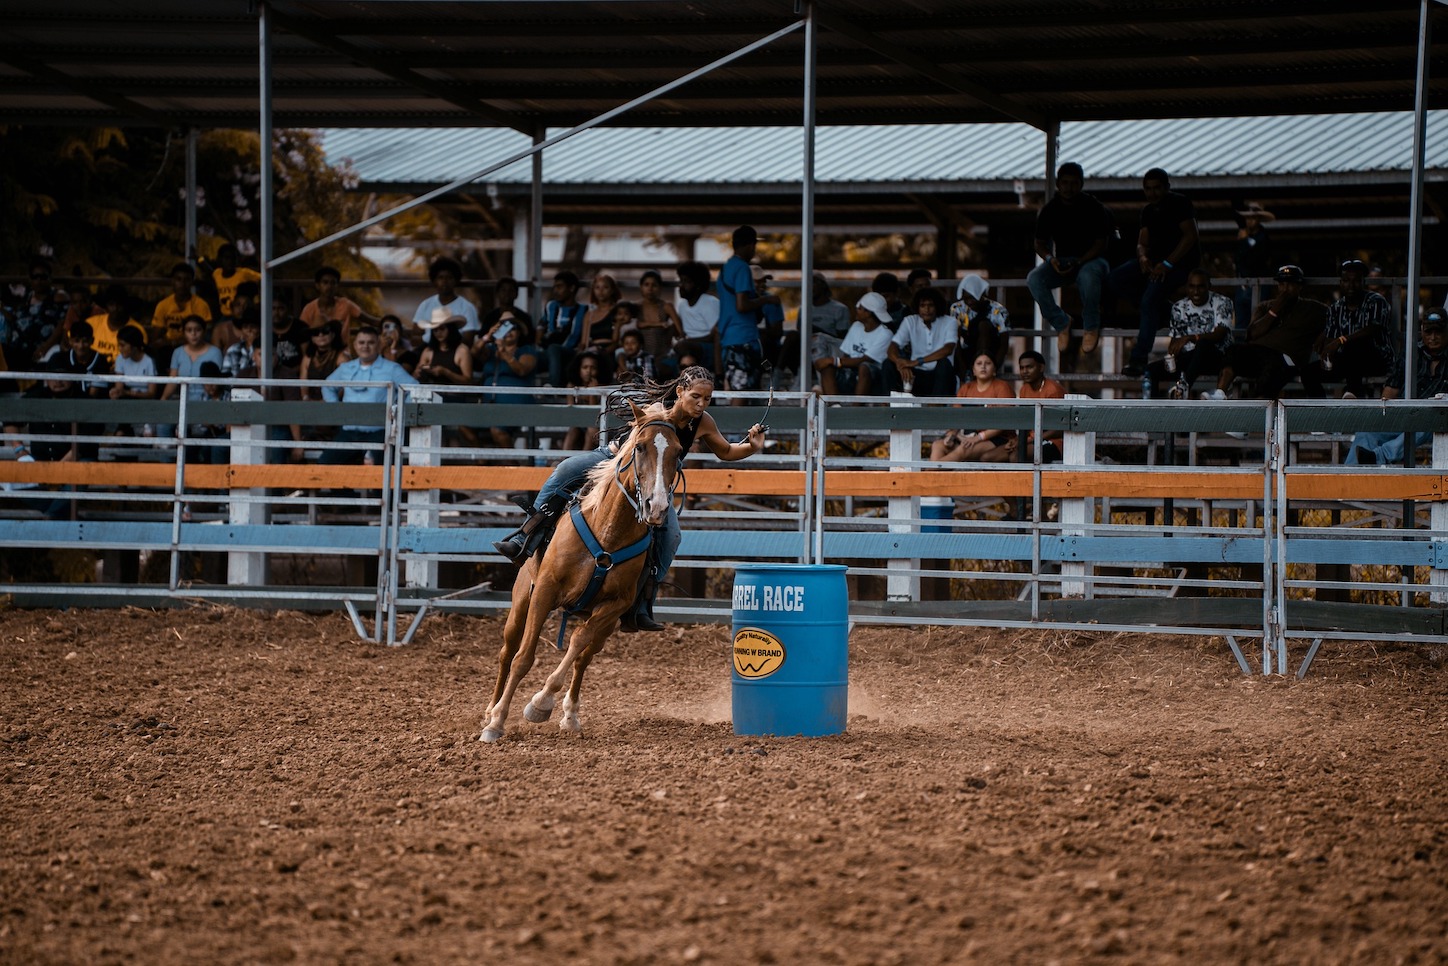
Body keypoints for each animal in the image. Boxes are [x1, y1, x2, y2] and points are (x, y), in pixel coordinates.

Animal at [480, 402, 685, 743]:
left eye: (678, 452)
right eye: (640, 446)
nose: (656, 507)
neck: (608, 532)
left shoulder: (615, 605)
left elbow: (578, 643)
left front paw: (542, 704)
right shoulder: (545, 590)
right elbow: (524, 658)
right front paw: (497, 722)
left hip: (608, 624)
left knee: (585, 657)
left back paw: (570, 716)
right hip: (522, 600)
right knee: (508, 651)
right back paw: (490, 709)